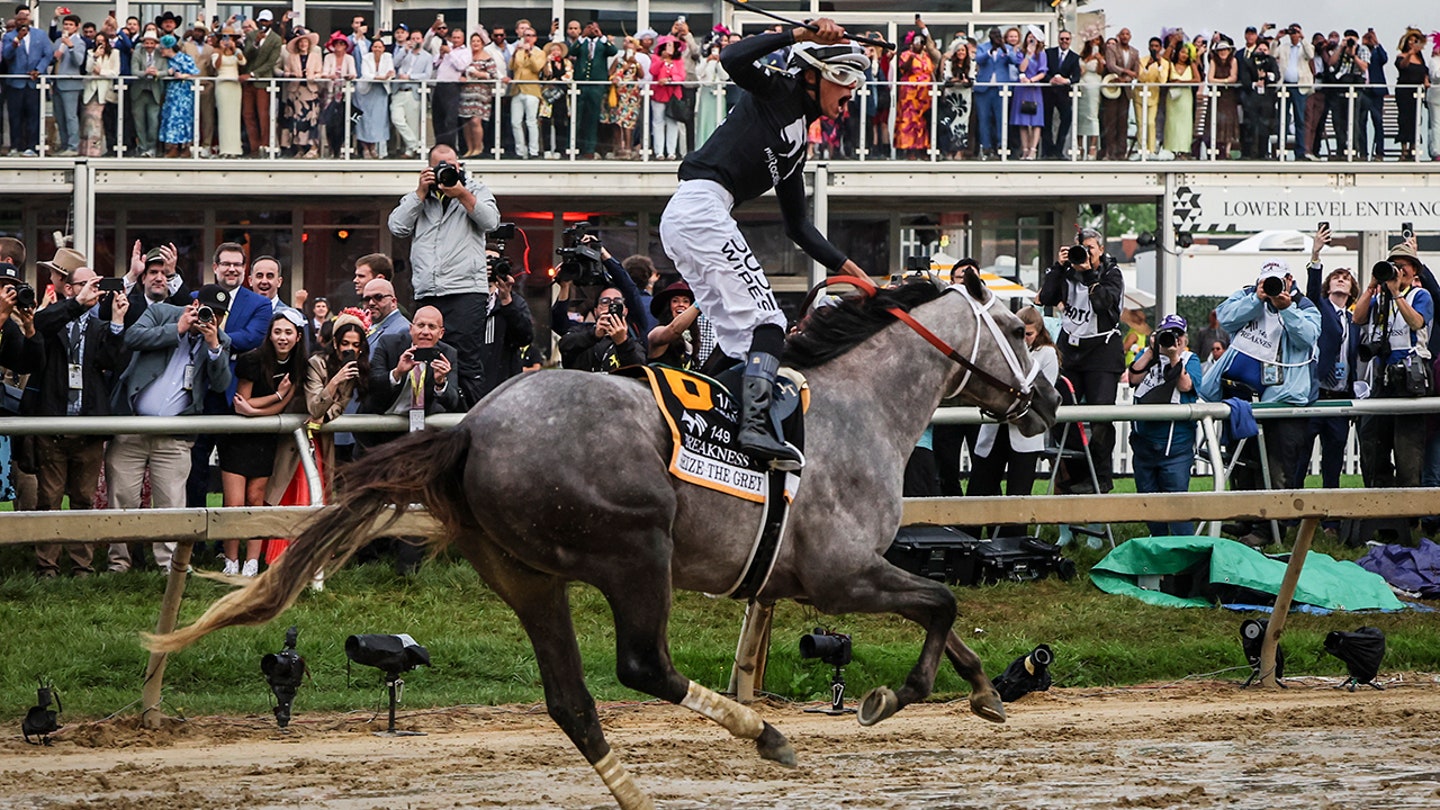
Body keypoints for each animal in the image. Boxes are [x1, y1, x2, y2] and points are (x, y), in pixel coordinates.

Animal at [151, 270, 1059, 807]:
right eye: (1024, 328)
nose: (1048, 409)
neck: (856, 407)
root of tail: (470, 429)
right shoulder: (837, 574)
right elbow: (940, 602)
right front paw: (891, 697)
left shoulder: (837, 575)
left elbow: (943, 612)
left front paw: (984, 692)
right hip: (635, 549)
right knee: (640, 667)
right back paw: (762, 735)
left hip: (526, 576)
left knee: (572, 701)